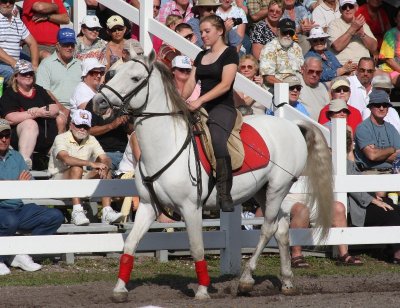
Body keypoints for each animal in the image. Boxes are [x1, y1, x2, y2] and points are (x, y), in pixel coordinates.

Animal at [92, 51, 332, 302]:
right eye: (112, 73)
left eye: (136, 78)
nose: (98, 102)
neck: (166, 144)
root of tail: (294, 126)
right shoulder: (149, 206)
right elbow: (130, 244)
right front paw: (120, 289)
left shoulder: (191, 207)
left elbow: (197, 248)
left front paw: (202, 290)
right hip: (263, 191)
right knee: (282, 229)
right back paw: (286, 282)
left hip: (278, 188)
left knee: (268, 228)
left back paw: (246, 280)